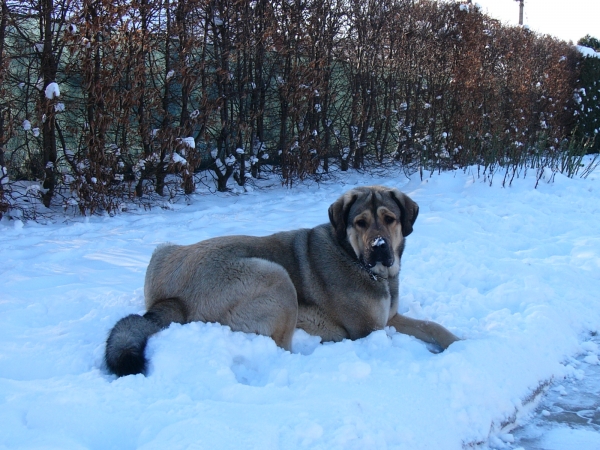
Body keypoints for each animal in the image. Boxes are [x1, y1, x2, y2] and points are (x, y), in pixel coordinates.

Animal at [104, 186, 460, 376]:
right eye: (360, 222)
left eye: (390, 219)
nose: (380, 247)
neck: (363, 265)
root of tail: (171, 299)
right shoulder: (369, 330)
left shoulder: (390, 317)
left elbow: (432, 327)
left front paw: (462, 345)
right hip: (276, 276)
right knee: (282, 350)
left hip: (162, 250)